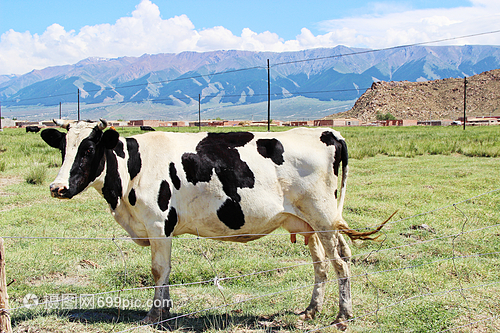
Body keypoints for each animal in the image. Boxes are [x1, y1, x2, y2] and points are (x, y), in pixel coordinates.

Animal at [41, 119, 388, 330]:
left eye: (88, 149)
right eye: (63, 149)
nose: (57, 188)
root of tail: (328, 132)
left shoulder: (157, 223)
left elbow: (158, 269)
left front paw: (154, 314)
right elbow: (165, 271)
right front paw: (166, 310)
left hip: (323, 216)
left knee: (340, 260)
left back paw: (343, 316)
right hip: (307, 222)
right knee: (322, 263)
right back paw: (310, 311)